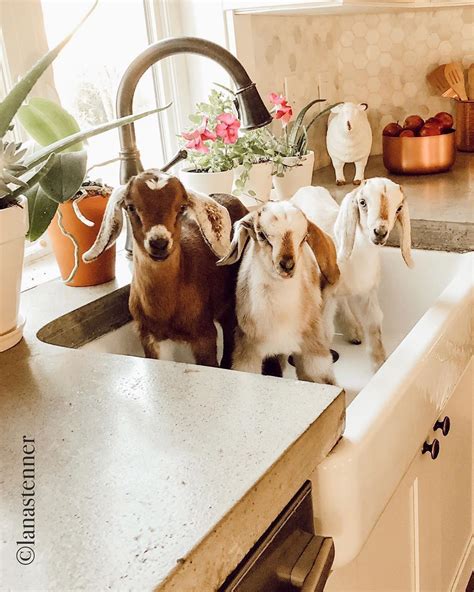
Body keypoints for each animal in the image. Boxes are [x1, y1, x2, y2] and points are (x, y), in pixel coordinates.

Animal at [82, 169, 248, 368]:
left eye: (182, 207)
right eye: (131, 207)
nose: (159, 243)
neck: (165, 312)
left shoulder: (204, 335)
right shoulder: (150, 336)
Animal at [294, 177, 412, 370]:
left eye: (399, 208)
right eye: (362, 202)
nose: (380, 232)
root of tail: (305, 188)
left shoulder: (368, 293)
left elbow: (374, 326)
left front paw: (379, 366)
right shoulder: (325, 295)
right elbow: (325, 334)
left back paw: (353, 332)